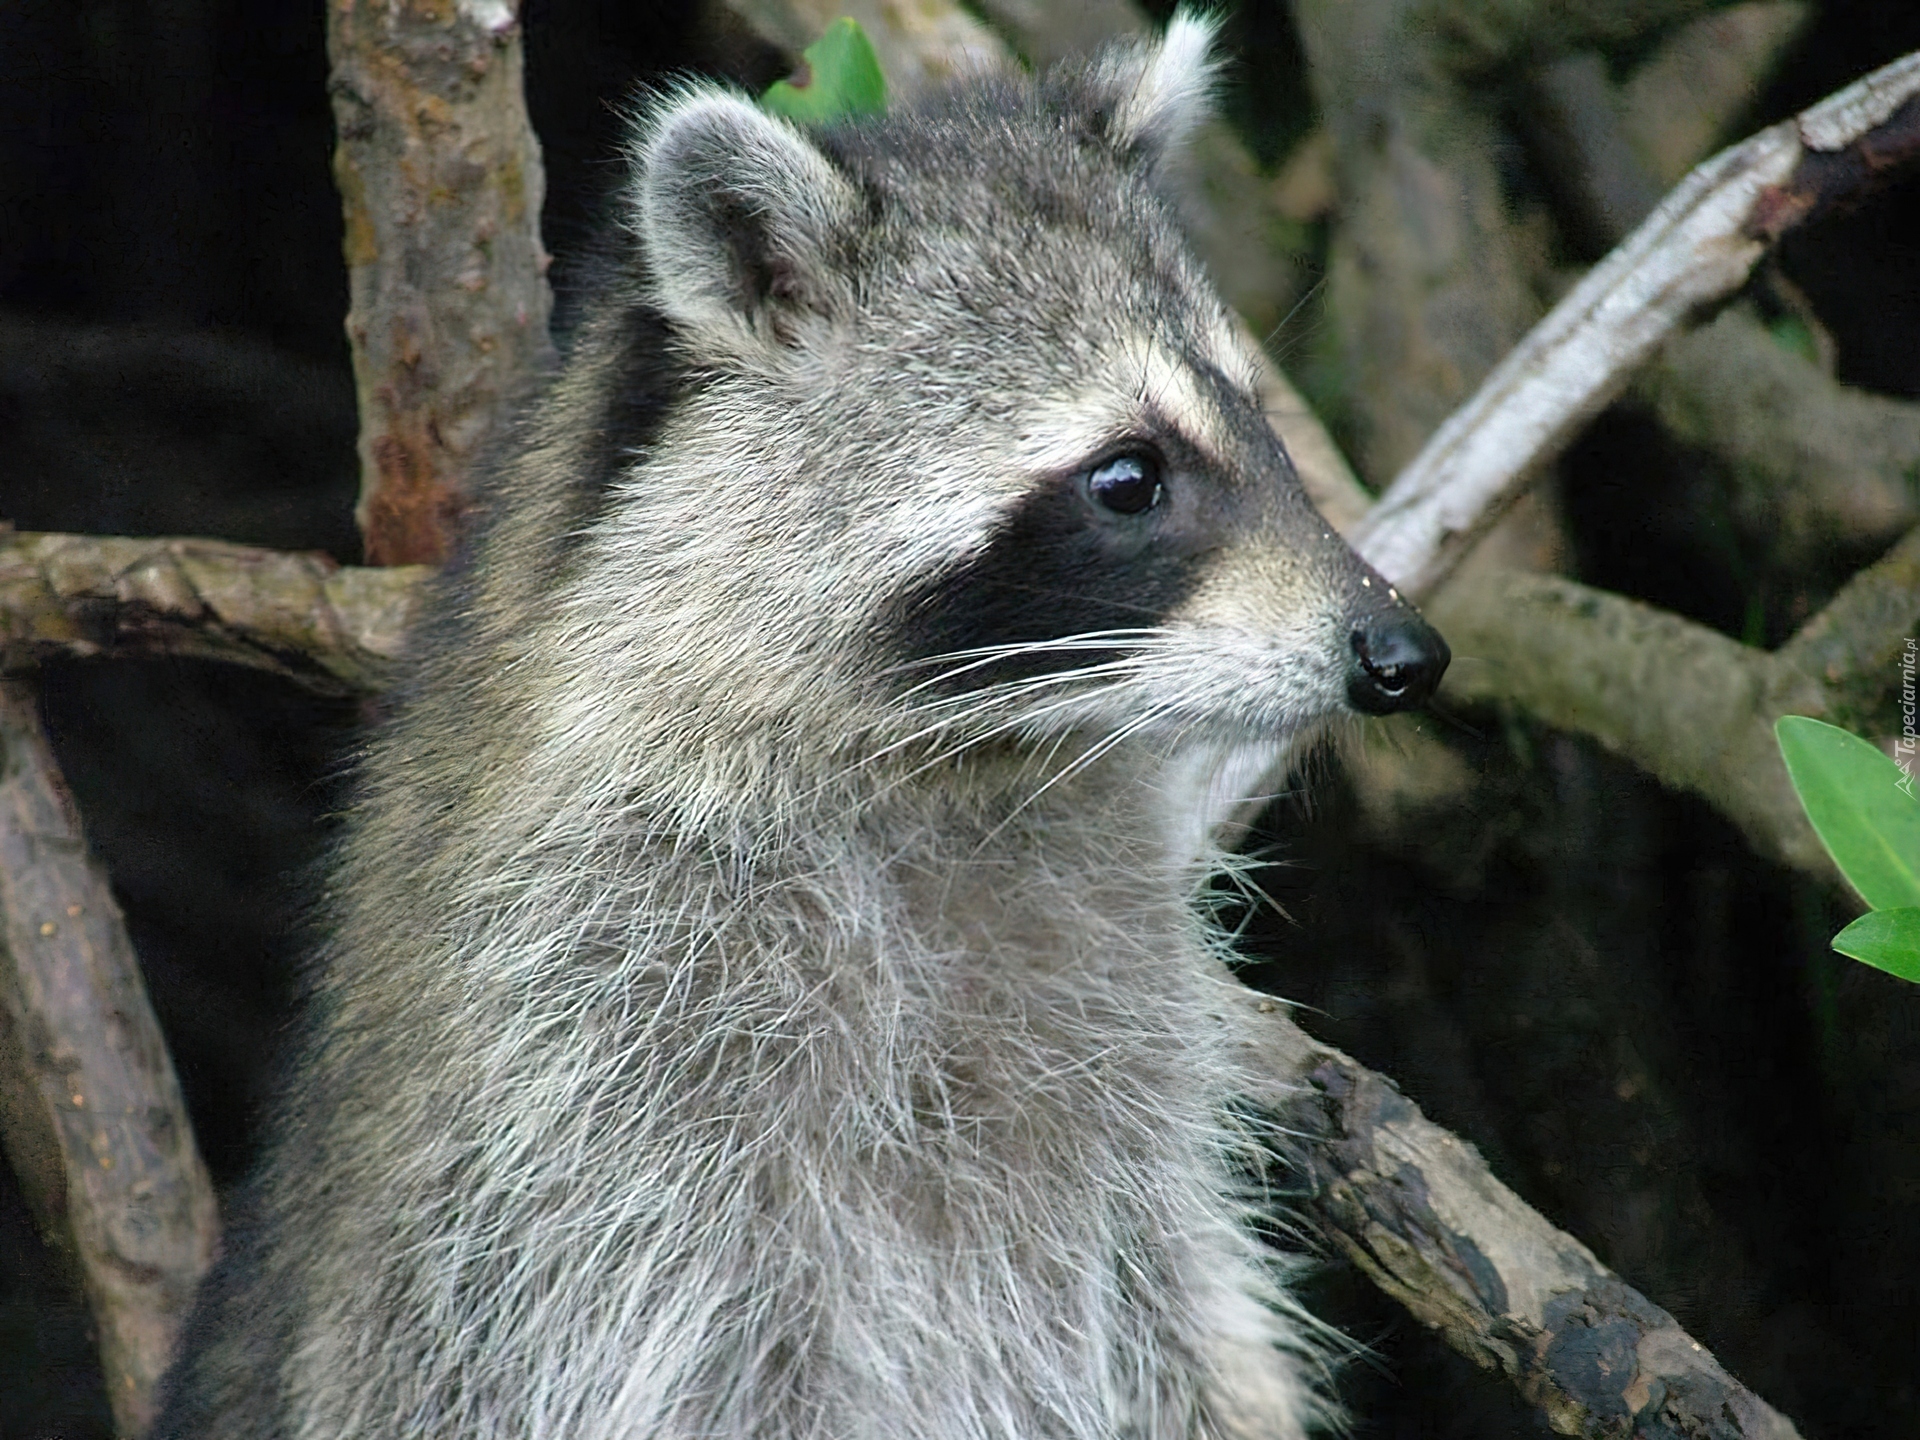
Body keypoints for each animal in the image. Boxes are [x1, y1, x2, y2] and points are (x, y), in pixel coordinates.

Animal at [156, 14, 1447, 1438]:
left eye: (1260, 419)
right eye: (1127, 477)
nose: (1401, 653)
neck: (961, 763)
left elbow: (1184, 1313)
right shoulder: (592, 1091)